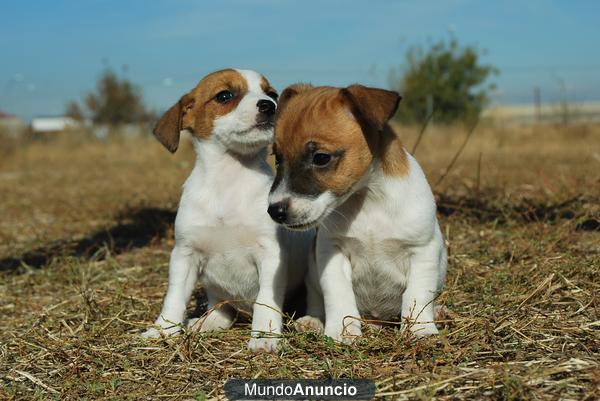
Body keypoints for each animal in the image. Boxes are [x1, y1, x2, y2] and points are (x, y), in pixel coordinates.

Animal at [141, 69, 310, 350]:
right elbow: (174, 297)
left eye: (272, 94)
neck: (228, 181)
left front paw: (264, 336)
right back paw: (203, 322)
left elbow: (266, 301)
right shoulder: (184, 254)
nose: (270, 106)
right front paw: (164, 329)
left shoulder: (270, 254)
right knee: (222, 311)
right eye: (224, 95)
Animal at [268, 83, 446, 342]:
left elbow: (417, 293)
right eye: (277, 158)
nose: (275, 211)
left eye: (321, 158)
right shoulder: (332, 252)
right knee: (316, 299)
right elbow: (338, 293)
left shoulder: (422, 250)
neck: (369, 199)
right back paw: (313, 321)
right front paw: (342, 331)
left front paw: (420, 329)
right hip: (312, 272)